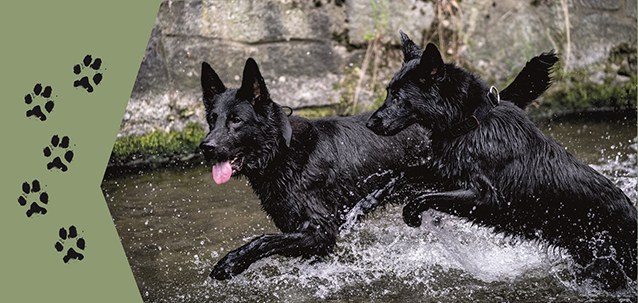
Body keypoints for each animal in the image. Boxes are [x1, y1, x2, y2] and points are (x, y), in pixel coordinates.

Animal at [368, 31, 636, 290]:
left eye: (398, 97)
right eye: (388, 92)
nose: (370, 123)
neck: (472, 123)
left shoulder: (486, 197)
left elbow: (425, 197)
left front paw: (411, 211)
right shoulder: (447, 174)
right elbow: (403, 176)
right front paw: (371, 200)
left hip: (605, 267)